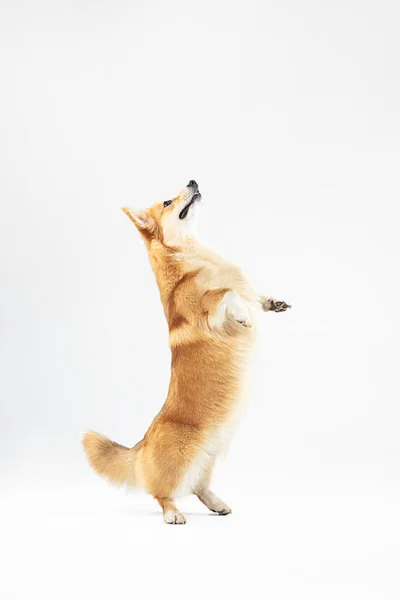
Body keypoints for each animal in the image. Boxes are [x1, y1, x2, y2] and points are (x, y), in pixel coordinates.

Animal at [83, 180, 290, 524]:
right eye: (168, 202)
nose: (193, 181)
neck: (194, 255)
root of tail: (141, 445)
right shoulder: (209, 309)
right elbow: (227, 294)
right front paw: (244, 315)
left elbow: (249, 293)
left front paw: (271, 303)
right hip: (181, 460)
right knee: (161, 492)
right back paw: (173, 514)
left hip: (206, 460)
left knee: (197, 486)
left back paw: (217, 504)